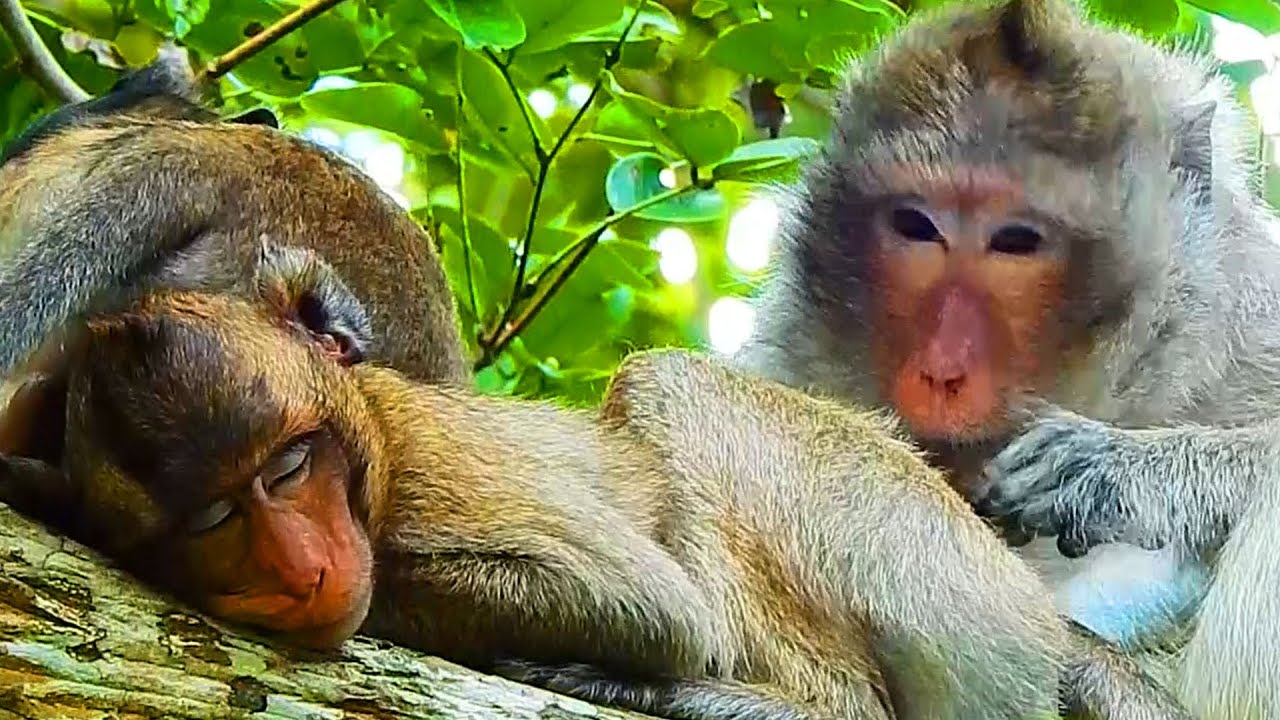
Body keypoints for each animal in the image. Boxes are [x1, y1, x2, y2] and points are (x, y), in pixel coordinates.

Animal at [0, 251, 1192, 720]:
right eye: (213, 515)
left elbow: (654, 610)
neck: (371, 451)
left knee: (668, 392)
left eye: (289, 467)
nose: (302, 568)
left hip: (931, 562)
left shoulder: (438, 476)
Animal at [734, 0, 1280, 715]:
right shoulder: (787, 349)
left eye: (1016, 241)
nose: (941, 370)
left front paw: (1117, 472)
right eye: (916, 227)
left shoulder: (1251, 319)